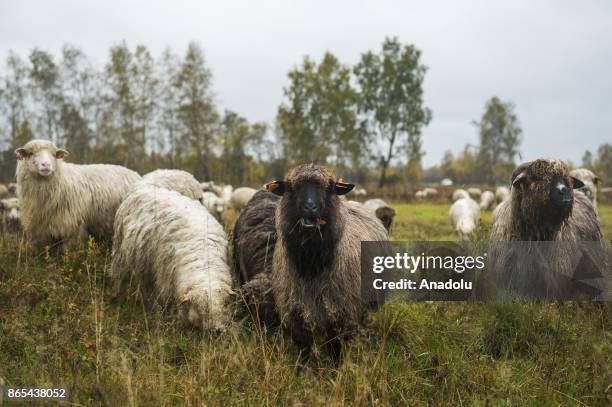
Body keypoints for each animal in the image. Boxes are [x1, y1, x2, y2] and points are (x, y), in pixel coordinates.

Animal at [110, 178, 234, 332]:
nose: (217, 330)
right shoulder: (166, 279)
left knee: (146, 285)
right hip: (120, 250)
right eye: (200, 308)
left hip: (146, 266)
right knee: (121, 277)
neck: (203, 260)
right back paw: (119, 297)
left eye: (224, 305)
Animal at [264, 164, 388, 362]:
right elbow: (304, 346)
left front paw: (334, 367)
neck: (311, 265)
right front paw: (302, 368)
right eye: (291, 187)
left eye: (329, 188)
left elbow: (334, 346)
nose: (310, 207)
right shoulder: (294, 310)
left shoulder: (340, 311)